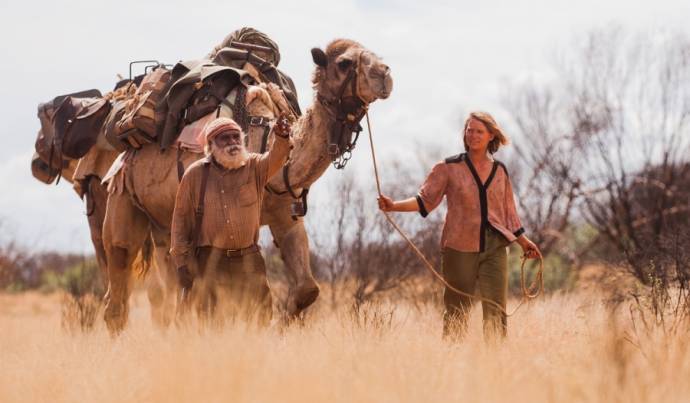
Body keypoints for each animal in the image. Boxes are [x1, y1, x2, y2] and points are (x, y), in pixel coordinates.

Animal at [102, 38, 392, 334]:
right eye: (344, 63)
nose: (385, 74)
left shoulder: (285, 216)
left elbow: (307, 289)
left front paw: (279, 326)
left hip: (162, 226)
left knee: (164, 291)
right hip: (122, 196)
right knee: (119, 277)